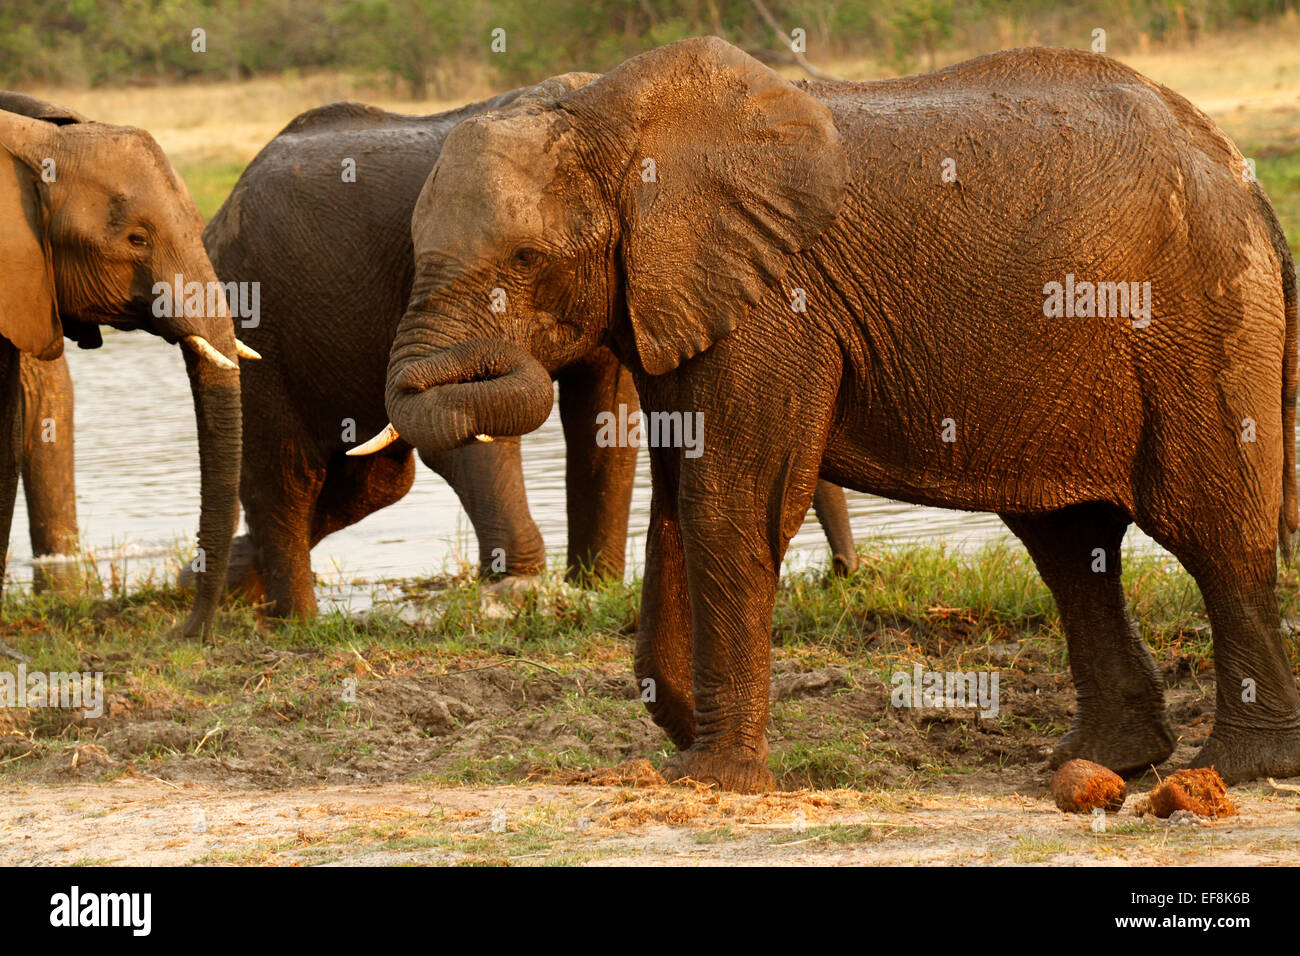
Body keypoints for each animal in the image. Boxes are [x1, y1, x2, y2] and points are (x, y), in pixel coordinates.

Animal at [201, 79, 857, 620]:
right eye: (520, 257)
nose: (841, 575)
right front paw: (521, 589)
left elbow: (604, 421)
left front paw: (593, 587)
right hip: (250, 308)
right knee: (286, 472)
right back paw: (295, 620)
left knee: (372, 480)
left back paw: (227, 579)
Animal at [367, 38, 1300, 790]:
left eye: (527, 260)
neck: (607, 115)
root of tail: (1242, 171)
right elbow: (677, 503)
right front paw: (684, 737)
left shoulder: (776, 304)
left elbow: (729, 502)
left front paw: (712, 777)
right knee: (1071, 545)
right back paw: (1105, 761)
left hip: (1201, 321)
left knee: (1212, 528)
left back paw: (1235, 769)